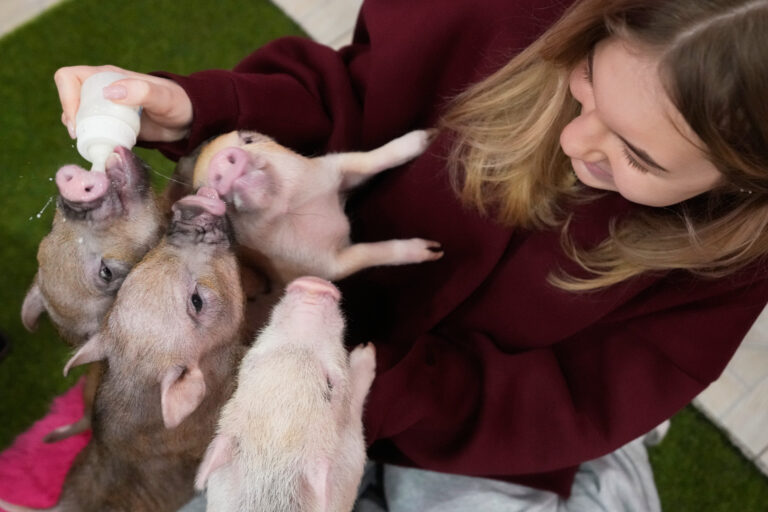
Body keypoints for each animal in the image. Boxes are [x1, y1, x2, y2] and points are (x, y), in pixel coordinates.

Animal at [189, 129, 443, 286]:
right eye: (205, 192)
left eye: (249, 140)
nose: (219, 161)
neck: (294, 207)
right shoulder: (324, 267)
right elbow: (366, 254)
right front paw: (434, 251)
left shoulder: (333, 168)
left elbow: (368, 160)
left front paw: (429, 135)